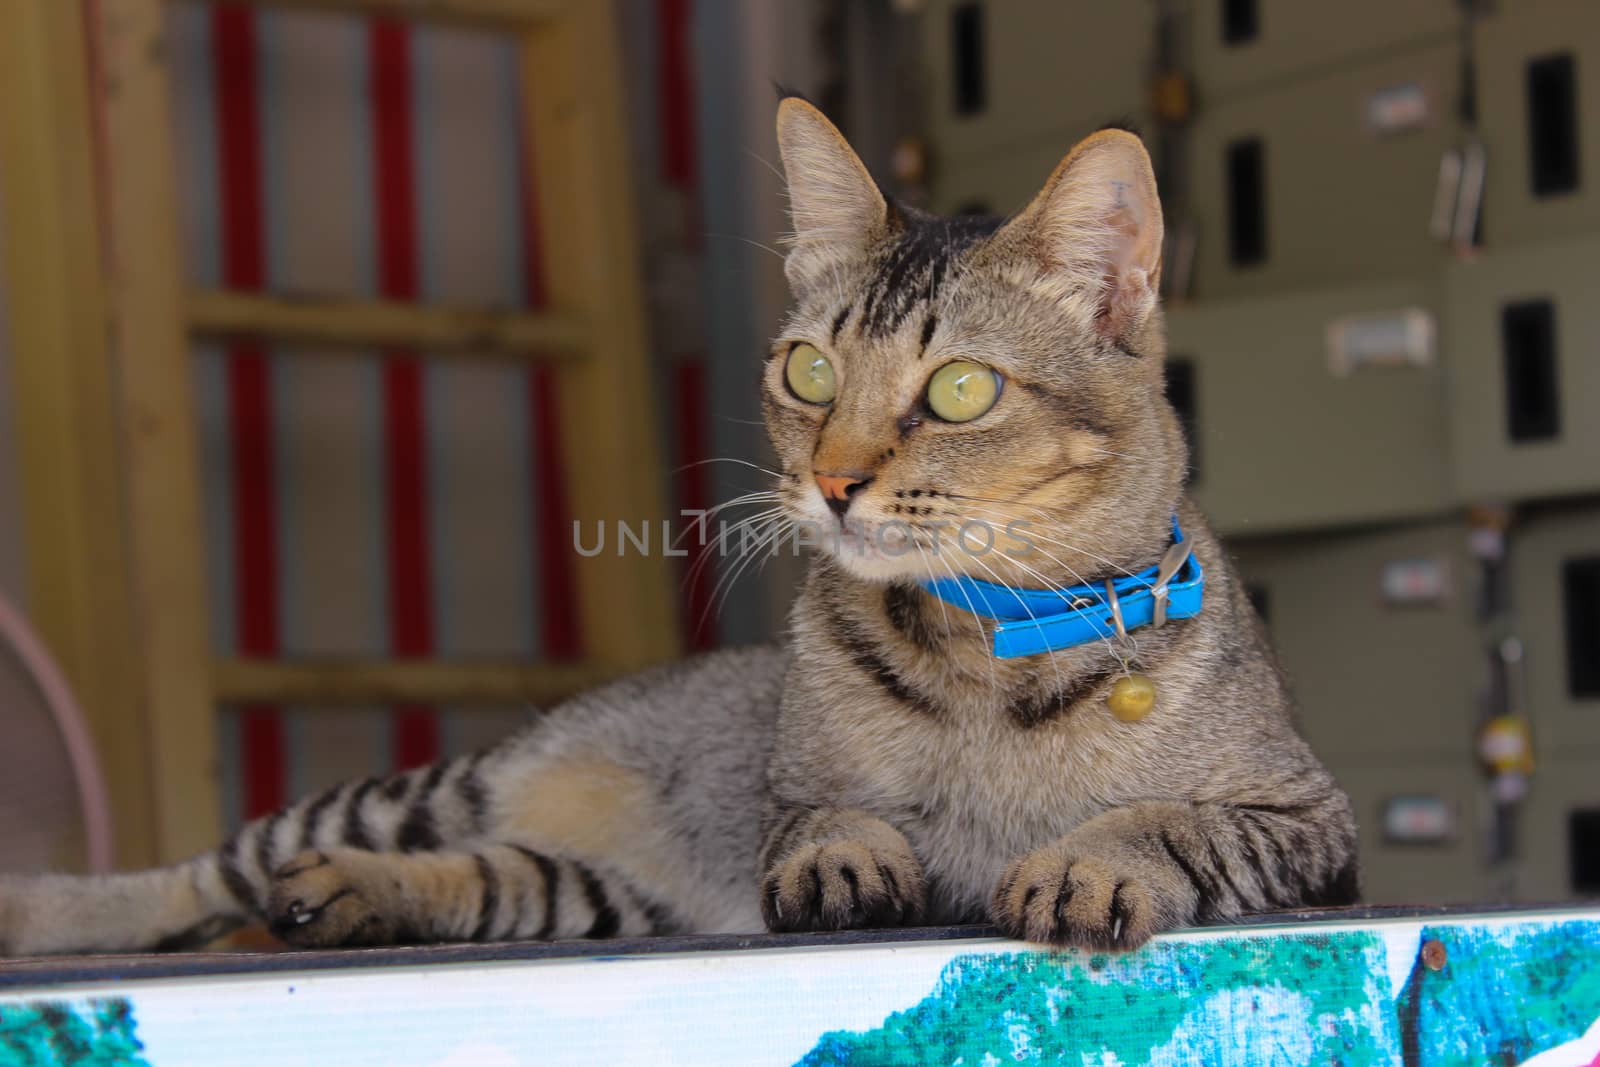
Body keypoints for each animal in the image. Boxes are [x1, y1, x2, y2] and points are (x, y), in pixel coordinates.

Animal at [0, 99, 1356, 959]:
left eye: (961, 389)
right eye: (810, 371)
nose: (836, 481)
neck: (988, 652)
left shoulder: (1314, 825)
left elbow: (1177, 816)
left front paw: (1092, 855)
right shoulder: (783, 799)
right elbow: (816, 817)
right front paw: (846, 851)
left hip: (589, 894)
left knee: (477, 881)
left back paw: (349, 899)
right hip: (427, 790)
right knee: (211, 868)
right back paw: (48, 913)